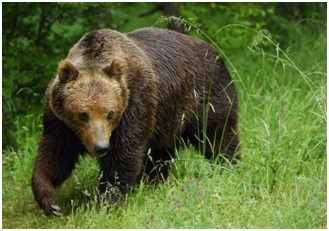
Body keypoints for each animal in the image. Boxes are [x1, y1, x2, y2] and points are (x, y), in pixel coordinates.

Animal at [31, 28, 238, 216]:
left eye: (110, 113)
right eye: (83, 114)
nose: (101, 147)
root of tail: (216, 53)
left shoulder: (135, 105)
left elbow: (123, 155)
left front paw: (107, 202)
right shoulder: (60, 122)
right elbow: (56, 155)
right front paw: (50, 202)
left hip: (206, 97)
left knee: (219, 136)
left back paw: (227, 166)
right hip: (166, 120)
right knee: (161, 154)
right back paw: (155, 181)